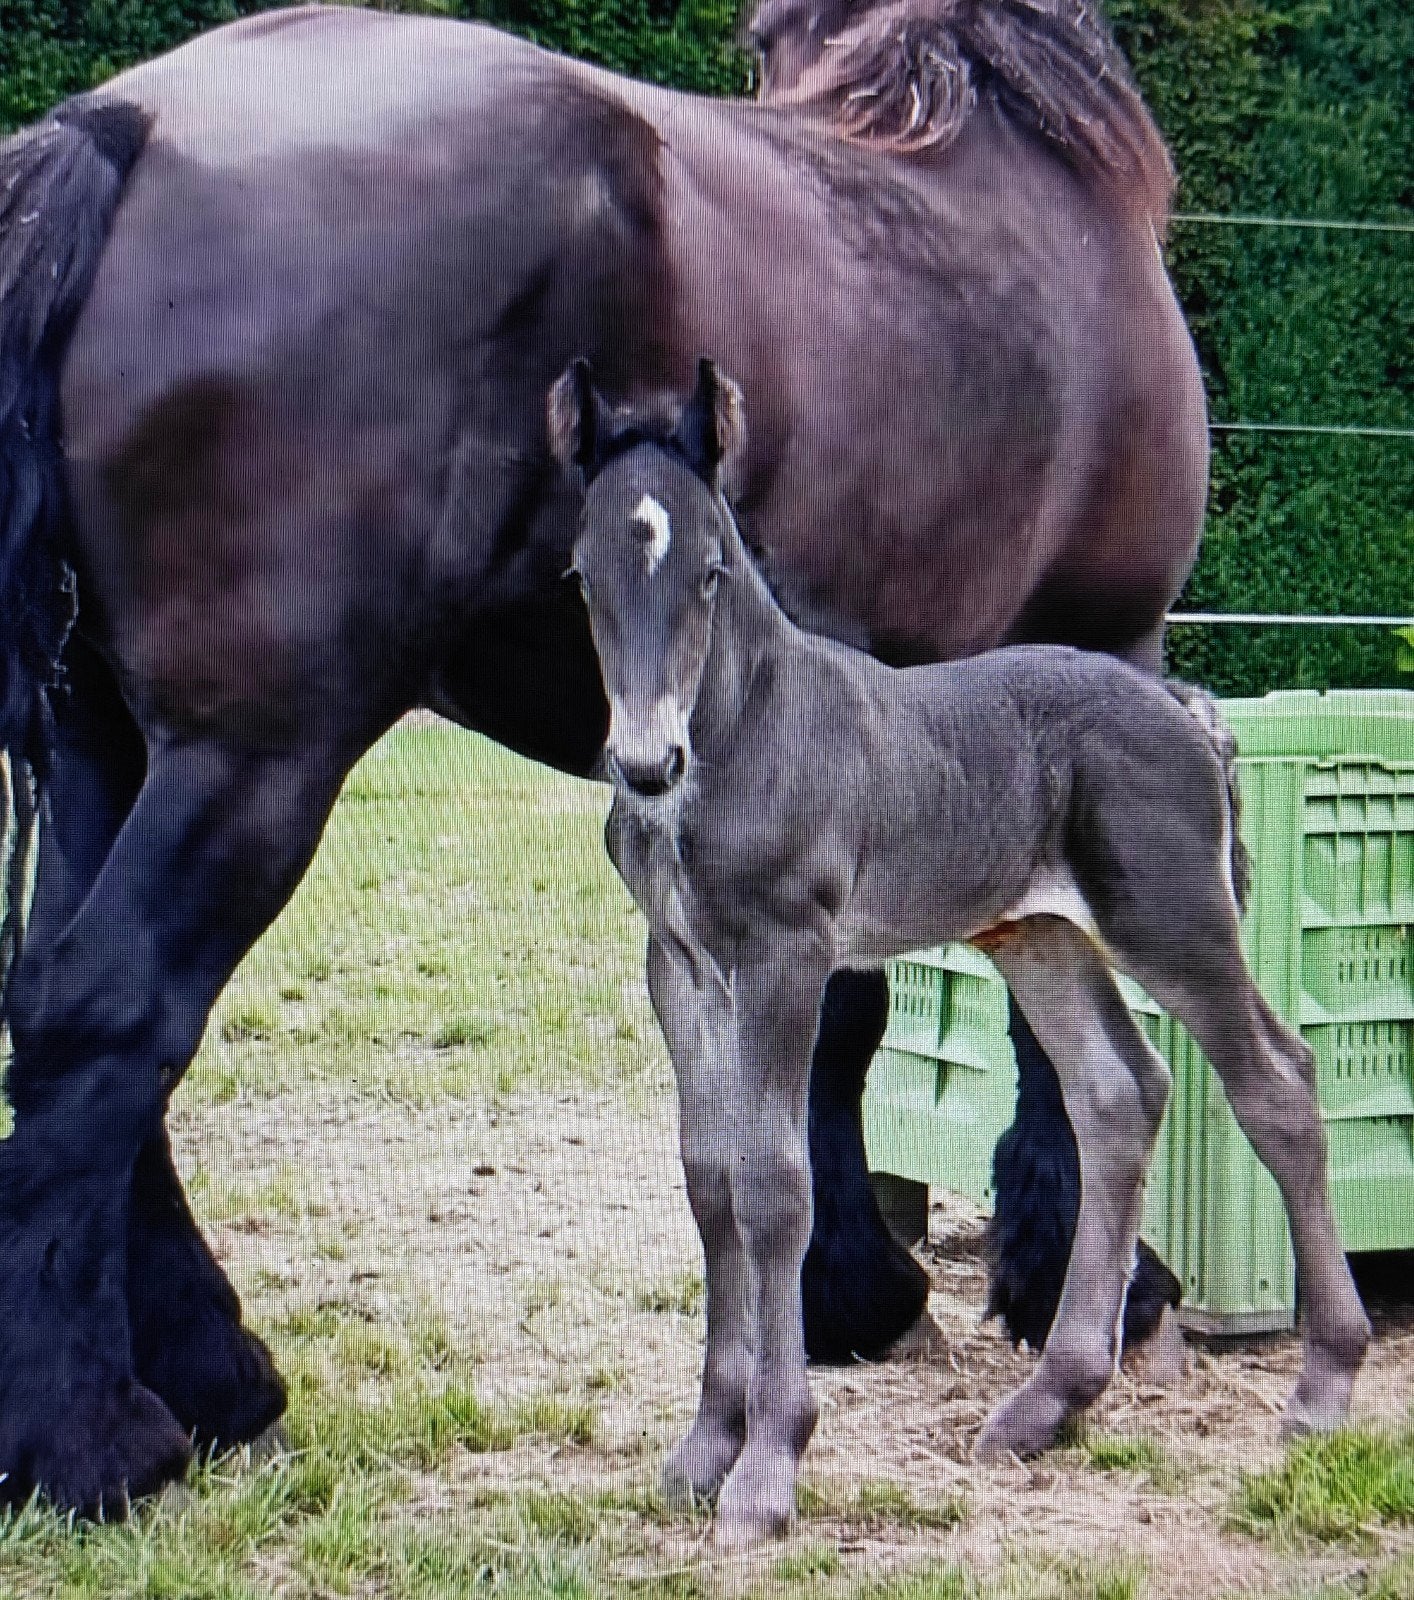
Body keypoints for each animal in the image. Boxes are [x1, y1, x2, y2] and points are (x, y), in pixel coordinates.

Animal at [0, 0, 1207, 1513]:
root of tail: (126, 124)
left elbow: (838, 1020)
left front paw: (847, 1291)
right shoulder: (1097, 645)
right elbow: (1031, 1023)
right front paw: (1040, 1287)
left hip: (106, 744)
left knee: (66, 1013)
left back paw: (210, 1375)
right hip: (250, 758)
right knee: (110, 1014)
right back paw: (89, 1437)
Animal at [552, 356, 1369, 1546]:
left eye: (709, 571)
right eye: (581, 576)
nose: (647, 763)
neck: (745, 727)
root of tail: (1181, 703)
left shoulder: (788, 954)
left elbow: (774, 1185)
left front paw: (767, 1470)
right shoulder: (681, 965)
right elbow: (710, 1182)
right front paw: (703, 1448)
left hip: (1169, 919)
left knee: (1278, 1078)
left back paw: (1323, 1386)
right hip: (1040, 935)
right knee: (1120, 1090)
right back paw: (1048, 1404)